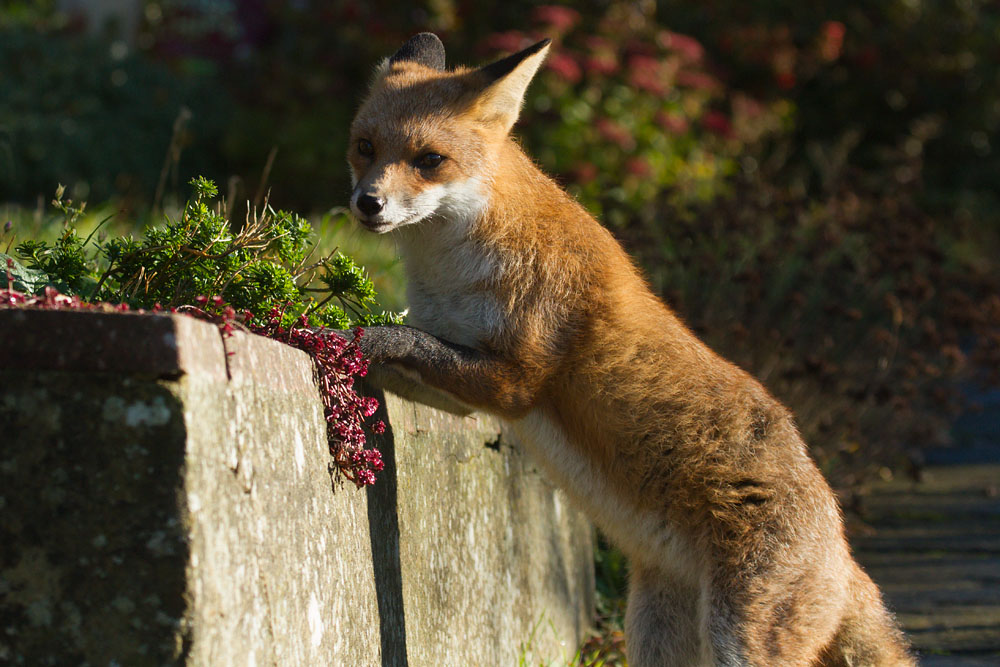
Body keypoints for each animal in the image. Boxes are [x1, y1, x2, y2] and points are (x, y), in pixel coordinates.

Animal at [344, 32, 915, 666]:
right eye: (365, 147)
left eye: (429, 160)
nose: (367, 203)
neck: (450, 272)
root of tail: (844, 550)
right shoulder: (466, 389)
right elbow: (418, 349)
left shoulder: (516, 380)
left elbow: (404, 340)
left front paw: (346, 334)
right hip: (655, 633)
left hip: (737, 638)